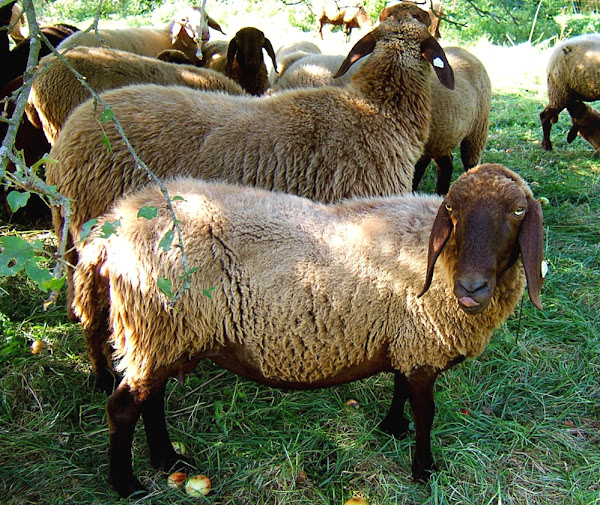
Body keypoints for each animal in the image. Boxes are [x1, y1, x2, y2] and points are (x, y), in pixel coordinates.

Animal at [72, 163, 548, 494]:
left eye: (518, 211)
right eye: (453, 212)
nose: (471, 288)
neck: (437, 255)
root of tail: (114, 226)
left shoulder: (406, 340)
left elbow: (399, 389)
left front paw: (392, 428)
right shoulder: (421, 345)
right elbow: (426, 412)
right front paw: (424, 469)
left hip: (164, 335)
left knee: (150, 400)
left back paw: (168, 459)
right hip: (155, 327)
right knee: (123, 407)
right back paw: (128, 484)